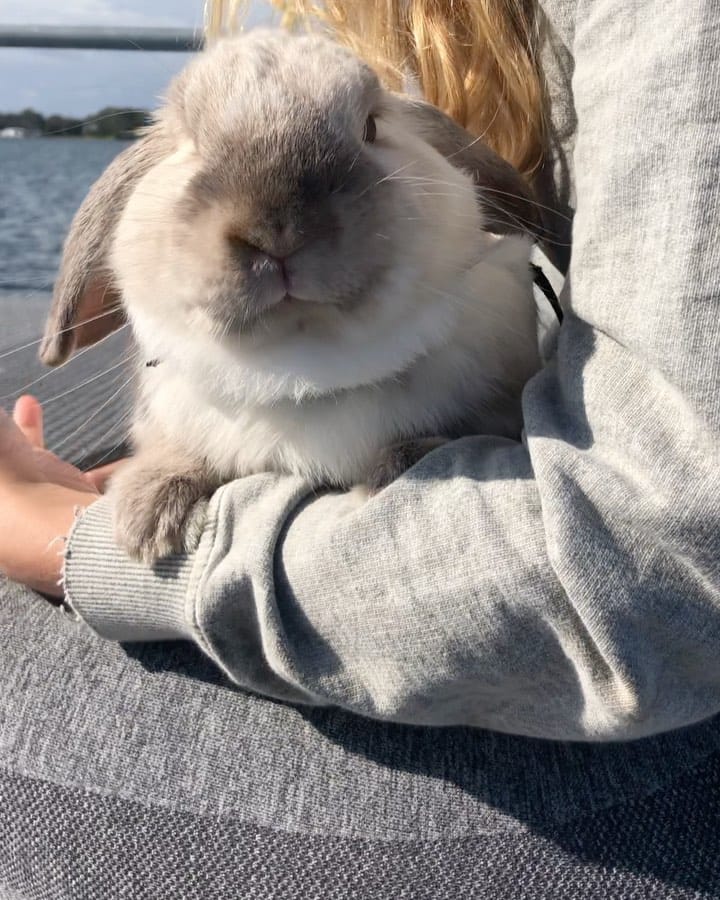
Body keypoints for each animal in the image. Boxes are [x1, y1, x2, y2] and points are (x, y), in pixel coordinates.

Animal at [40, 29, 544, 564]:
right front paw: (151, 521)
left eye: (370, 126)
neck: (300, 371)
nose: (277, 230)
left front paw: (394, 470)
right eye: (191, 143)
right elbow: (176, 456)